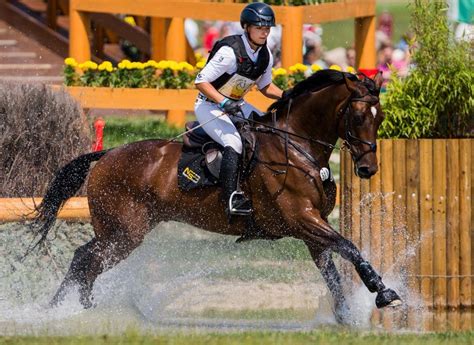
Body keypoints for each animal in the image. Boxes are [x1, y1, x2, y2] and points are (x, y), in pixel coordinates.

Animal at [30, 70, 400, 322]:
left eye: (379, 117)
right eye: (357, 116)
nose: (368, 169)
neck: (296, 146)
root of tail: (106, 155)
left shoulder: (312, 229)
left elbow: (333, 271)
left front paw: (345, 316)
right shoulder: (301, 219)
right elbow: (349, 247)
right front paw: (385, 294)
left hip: (121, 231)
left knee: (84, 259)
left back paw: (70, 309)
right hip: (125, 233)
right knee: (87, 259)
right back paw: (68, 311)